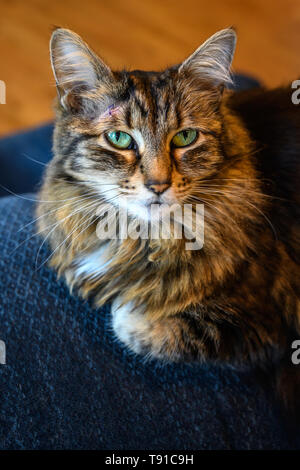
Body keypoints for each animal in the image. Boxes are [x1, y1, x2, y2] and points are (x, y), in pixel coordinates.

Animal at [37, 27, 300, 418]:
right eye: (119, 138)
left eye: (185, 137)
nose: (158, 185)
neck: (146, 237)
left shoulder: (265, 327)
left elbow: (133, 323)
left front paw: (129, 305)